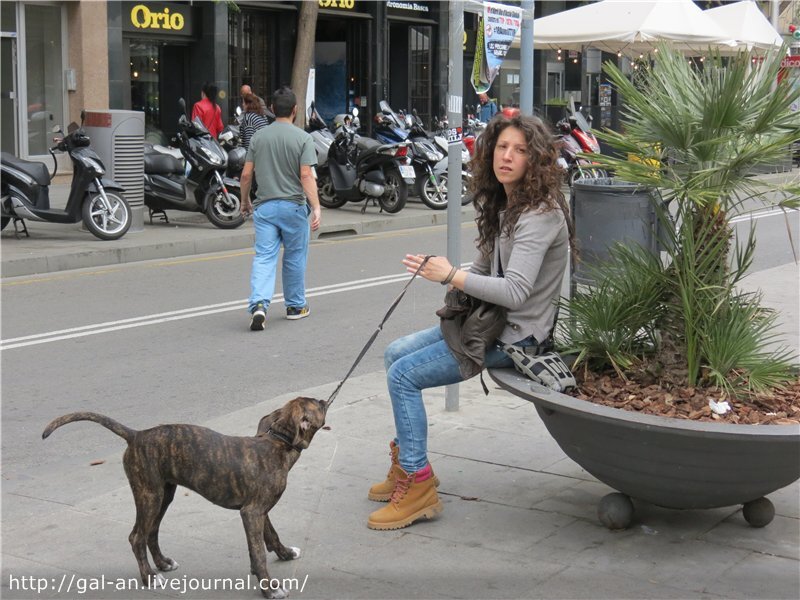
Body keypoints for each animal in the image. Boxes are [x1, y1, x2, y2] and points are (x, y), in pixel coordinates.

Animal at [39, 396, 328, 596]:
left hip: (163, 495)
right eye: (318, 405)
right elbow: (258, 552)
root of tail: (137, 435)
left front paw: (285, 554)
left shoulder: (257, 511)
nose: (325, 399)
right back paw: (149, 576)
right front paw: (269, 588)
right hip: (149, 494)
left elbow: (270, 537)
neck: (278, 444)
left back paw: (162, 563)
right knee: (136, 537)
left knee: (151, 532)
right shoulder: (252, 512)